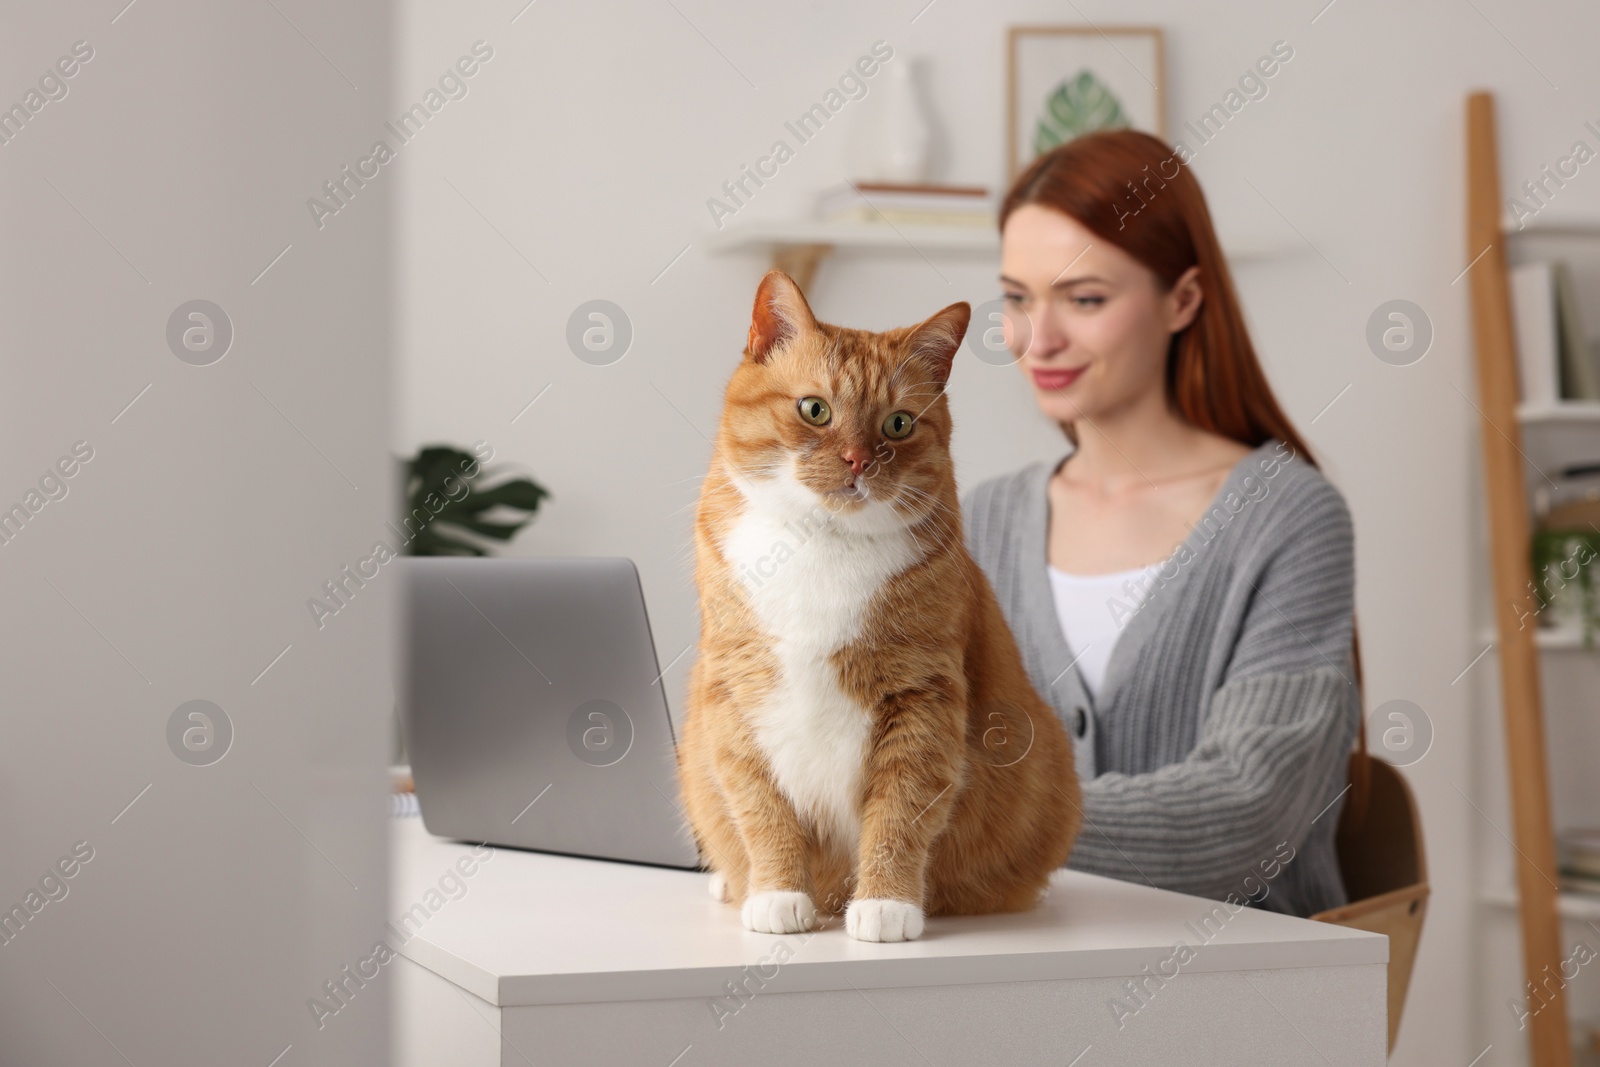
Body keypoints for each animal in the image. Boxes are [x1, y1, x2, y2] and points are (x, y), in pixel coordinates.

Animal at [675, 273, 1088, 940]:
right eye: (814, 410)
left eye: (897, 424)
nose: (858, 460)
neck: (821, 543)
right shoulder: (735, 692)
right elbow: (763, 809)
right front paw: (777, 893)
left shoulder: (921, 696)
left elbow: (900, 808)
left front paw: (886, 904)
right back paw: (731, 883)